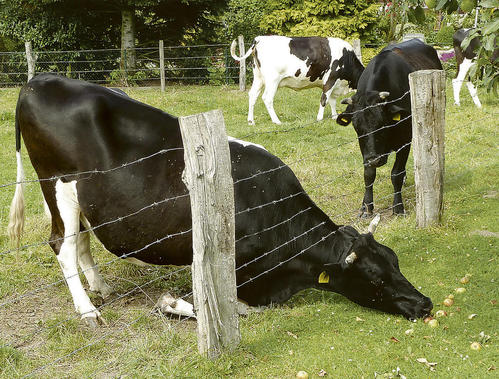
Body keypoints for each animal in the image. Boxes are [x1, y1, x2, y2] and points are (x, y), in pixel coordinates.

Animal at [6, 74, 434, 326]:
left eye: (396, 261)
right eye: (375, 277)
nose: (425, 303)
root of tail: (38, 80)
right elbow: (229, 308)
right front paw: (171, 303)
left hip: (83, 198)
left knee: (80, 239)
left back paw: (101, 288)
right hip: (57, 184)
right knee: (62, 243)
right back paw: (88, 309)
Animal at [230, 35, 364, 125]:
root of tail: (259, 38)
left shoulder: (336, 83)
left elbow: (332, 101)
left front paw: (334, 116)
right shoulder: (330, 79)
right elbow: (324, 99)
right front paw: (319, 118)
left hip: (258, 77)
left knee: (252, 95)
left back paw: (251, 121)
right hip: (272, 80)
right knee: (267, 98)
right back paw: (277, 121)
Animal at [336, 39, 442, 218]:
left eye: (383, 123)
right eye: (357, 126)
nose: (375, 159)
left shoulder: (405, 139)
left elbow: (396, 173)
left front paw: (398, 207)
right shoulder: (366, 150)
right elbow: (369, 174)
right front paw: (366, 206)